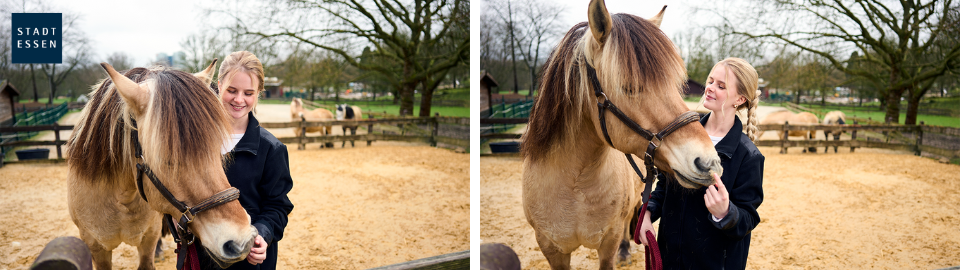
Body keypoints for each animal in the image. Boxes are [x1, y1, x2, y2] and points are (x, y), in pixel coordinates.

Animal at [66, 61, 258, 270]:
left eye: (217, 150)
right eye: (167, 160)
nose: (242, 242)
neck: (121, 199)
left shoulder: (148, 240)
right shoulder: (96, 248)